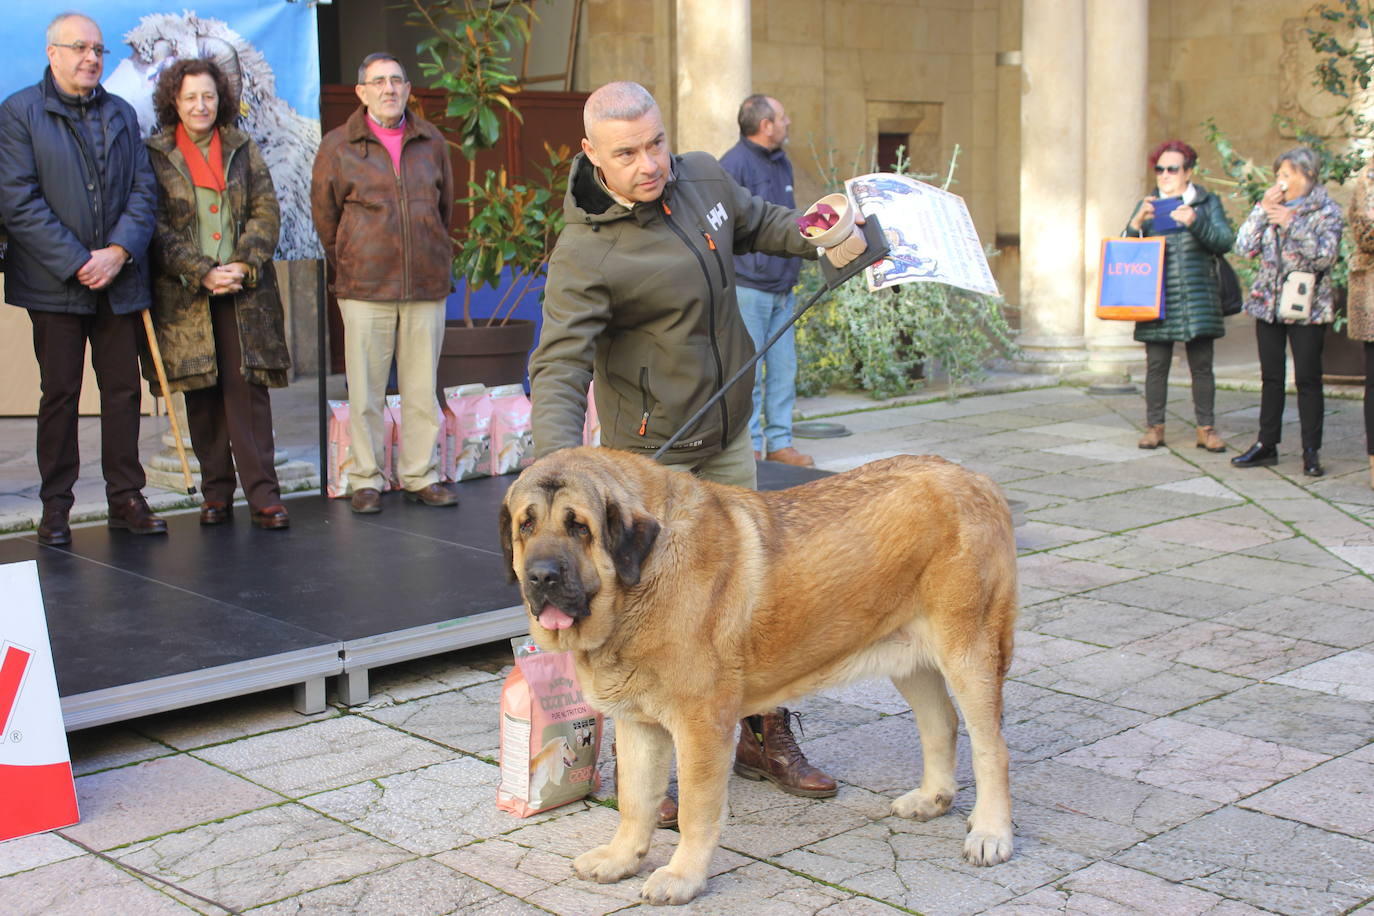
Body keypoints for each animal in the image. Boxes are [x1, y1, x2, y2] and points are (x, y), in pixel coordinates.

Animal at [500, 447, 1016, 906]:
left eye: (579, 527)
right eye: (526, 524)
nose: (541, 576)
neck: (641, 583)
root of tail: (976, 479)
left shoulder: (702, 727)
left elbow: (696, 809)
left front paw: (682, 878)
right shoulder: (639, 725)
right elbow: (635, 800)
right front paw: (621, 859)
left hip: (969, 652)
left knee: (991, 747)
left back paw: (991, 833)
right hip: (911, 659)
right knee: (940, 723)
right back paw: (932, 799)